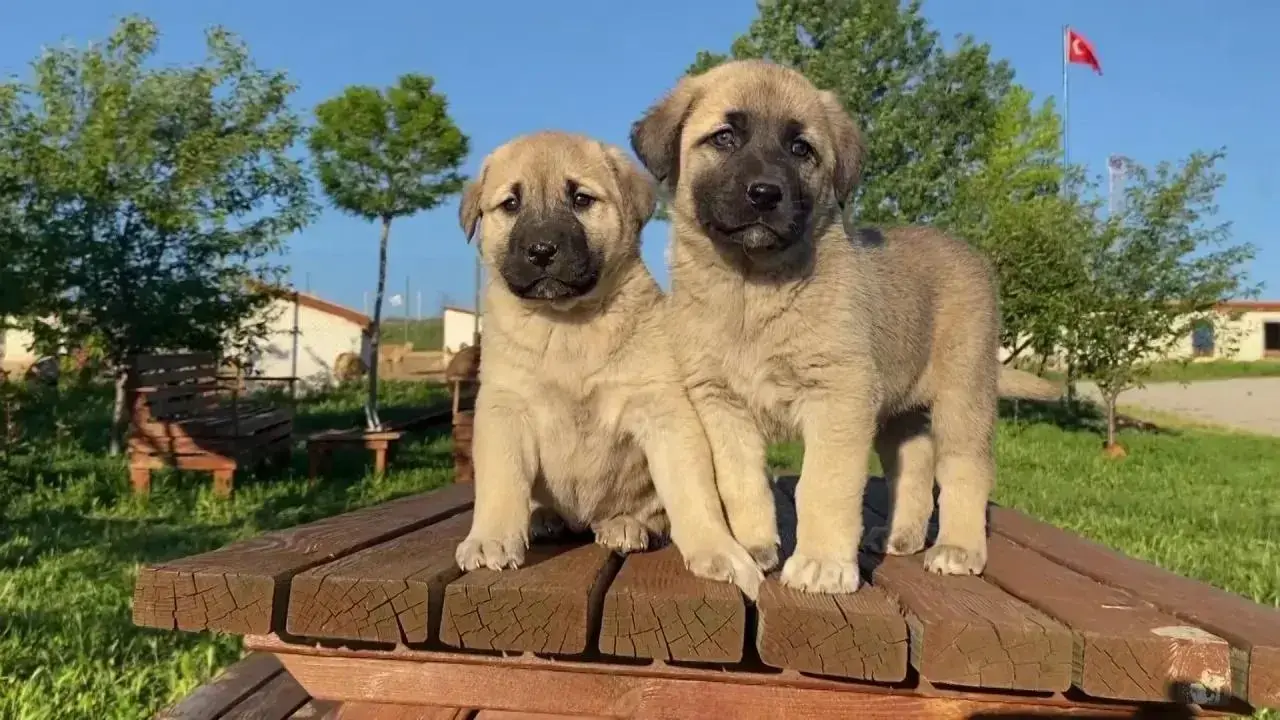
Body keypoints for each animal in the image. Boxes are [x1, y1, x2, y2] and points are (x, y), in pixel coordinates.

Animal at [455, 130, 762, 599]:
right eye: (510, 204)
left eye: (581, 199)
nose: (541, 250)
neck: (567, 325)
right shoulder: (505, 408)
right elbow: (501, 483)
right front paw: (490, 538)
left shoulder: (665, 413)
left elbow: (693, 491)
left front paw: (718, 550)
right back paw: (543, 518)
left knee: (651, 514)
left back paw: (625, 525)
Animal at [629, 60, 1059, 589]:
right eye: (725, 137)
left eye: (801, 149)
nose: (765, 194)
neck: (751, 291)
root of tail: (973, 255)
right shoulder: (721, 403)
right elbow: (740, 482)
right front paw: (751, 546)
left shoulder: (839, 395)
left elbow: (824, 486)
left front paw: (821, 563)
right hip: (901, 413)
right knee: (914, 469)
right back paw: (900, 536)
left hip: (964, 396)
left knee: (966, 470)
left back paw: (958, 547)